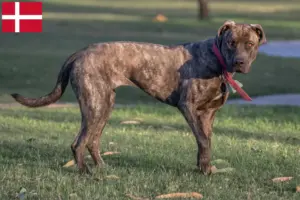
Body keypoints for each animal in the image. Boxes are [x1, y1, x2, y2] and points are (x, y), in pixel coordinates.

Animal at [11, 19, 266, 174]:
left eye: (249, 44)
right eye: (231, 43)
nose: (239, 62)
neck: (216, 60)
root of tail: (81, 52)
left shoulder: (208, 114)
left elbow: (206, 142)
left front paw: (204, 168)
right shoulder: (188, 107)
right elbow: (203, 140)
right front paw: (204, 170)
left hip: (104, 105)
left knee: (92, 140)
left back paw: (102, 168)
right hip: (95, 105)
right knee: (79, 143)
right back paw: (85, 173)